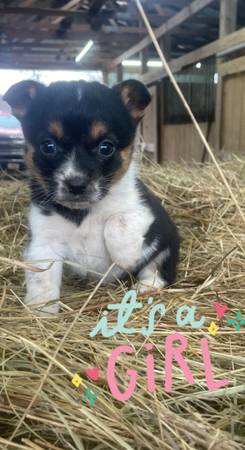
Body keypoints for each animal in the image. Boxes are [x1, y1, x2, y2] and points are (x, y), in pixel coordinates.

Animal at [4, 79, 180, 314]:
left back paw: (146, 285)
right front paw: (42, 311)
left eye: (106, 147)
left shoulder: (145, 210)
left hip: (166, 248)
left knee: (157, 270)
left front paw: (126, 256)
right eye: (48, 146)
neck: (83, 211)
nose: (76, 184)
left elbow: (116, 222)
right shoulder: (44, 241)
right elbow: (42, 279)